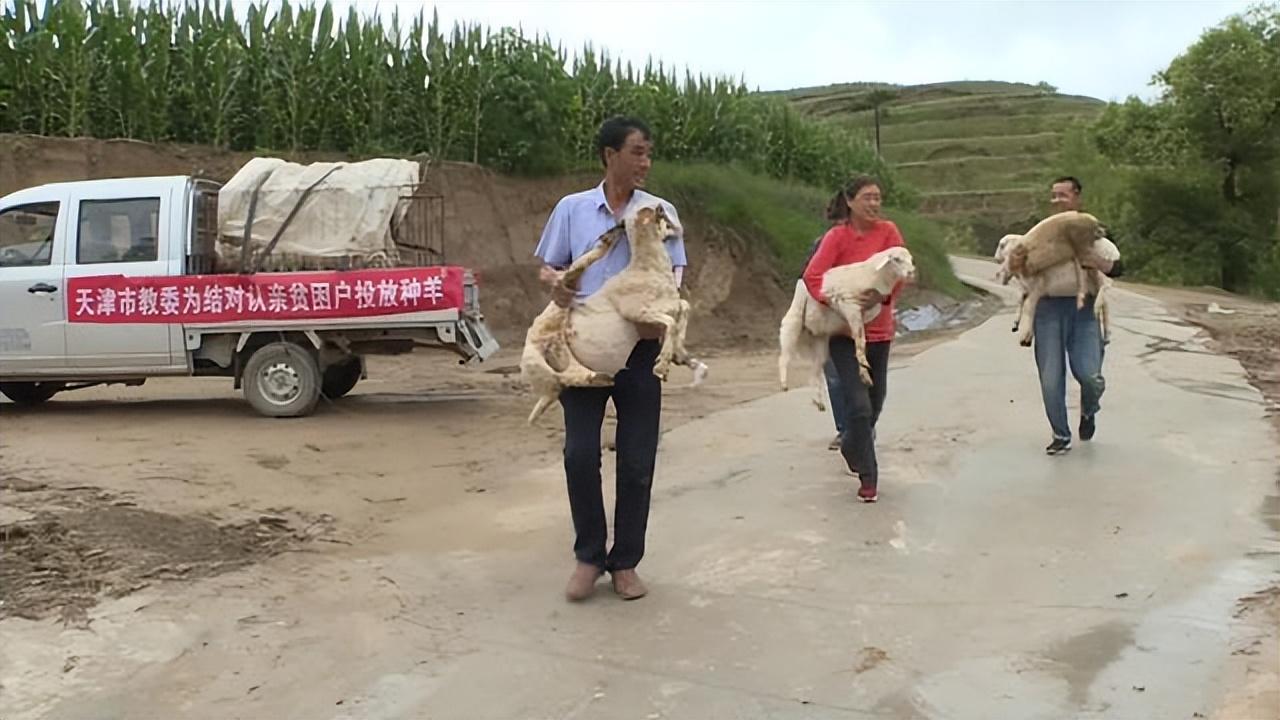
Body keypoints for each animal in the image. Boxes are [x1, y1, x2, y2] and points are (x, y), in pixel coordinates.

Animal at [519, 202, 711, 422]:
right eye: (664, 218)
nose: (680, 230)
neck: (647, 268)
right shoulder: (637, 311)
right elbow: (671, 320)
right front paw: (662, 365)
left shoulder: (669, 304)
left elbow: (684, 307)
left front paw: (680, 355)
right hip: (541, 346)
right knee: (571, 272)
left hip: (563, 356)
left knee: (571, 376)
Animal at [773, 244, 916, 409]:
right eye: (896, 259)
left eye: (910, 259)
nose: (911, 273)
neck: (876, 276)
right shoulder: (850, 306)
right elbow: (860, 341)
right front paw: (864, 368)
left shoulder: (862, 316)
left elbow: (860, 341)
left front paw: (864, 371)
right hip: (793, 322)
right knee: (784, 356)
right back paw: (784, 384)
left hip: (820, 344)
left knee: (814, 372)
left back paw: (818, 401)